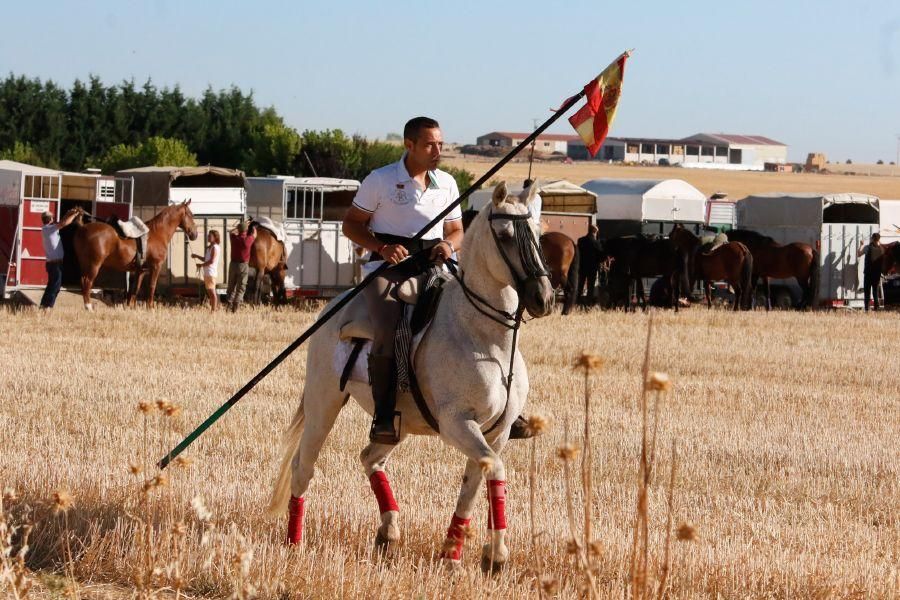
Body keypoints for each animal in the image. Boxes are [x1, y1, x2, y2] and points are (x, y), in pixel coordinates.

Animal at [268, 183, 552, 572]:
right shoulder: (457, 424)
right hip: (323, 402)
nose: (543, 298)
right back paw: (294, 544)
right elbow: (494, 470)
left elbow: (474, 484)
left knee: (370, 457)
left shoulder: (499, 431)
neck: (488, 339)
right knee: (303, 467)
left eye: (538, 234)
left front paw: (452, 554)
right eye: (506, 235)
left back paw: (389, 532)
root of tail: (334, 306)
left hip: (393, 421)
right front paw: (495, 556)